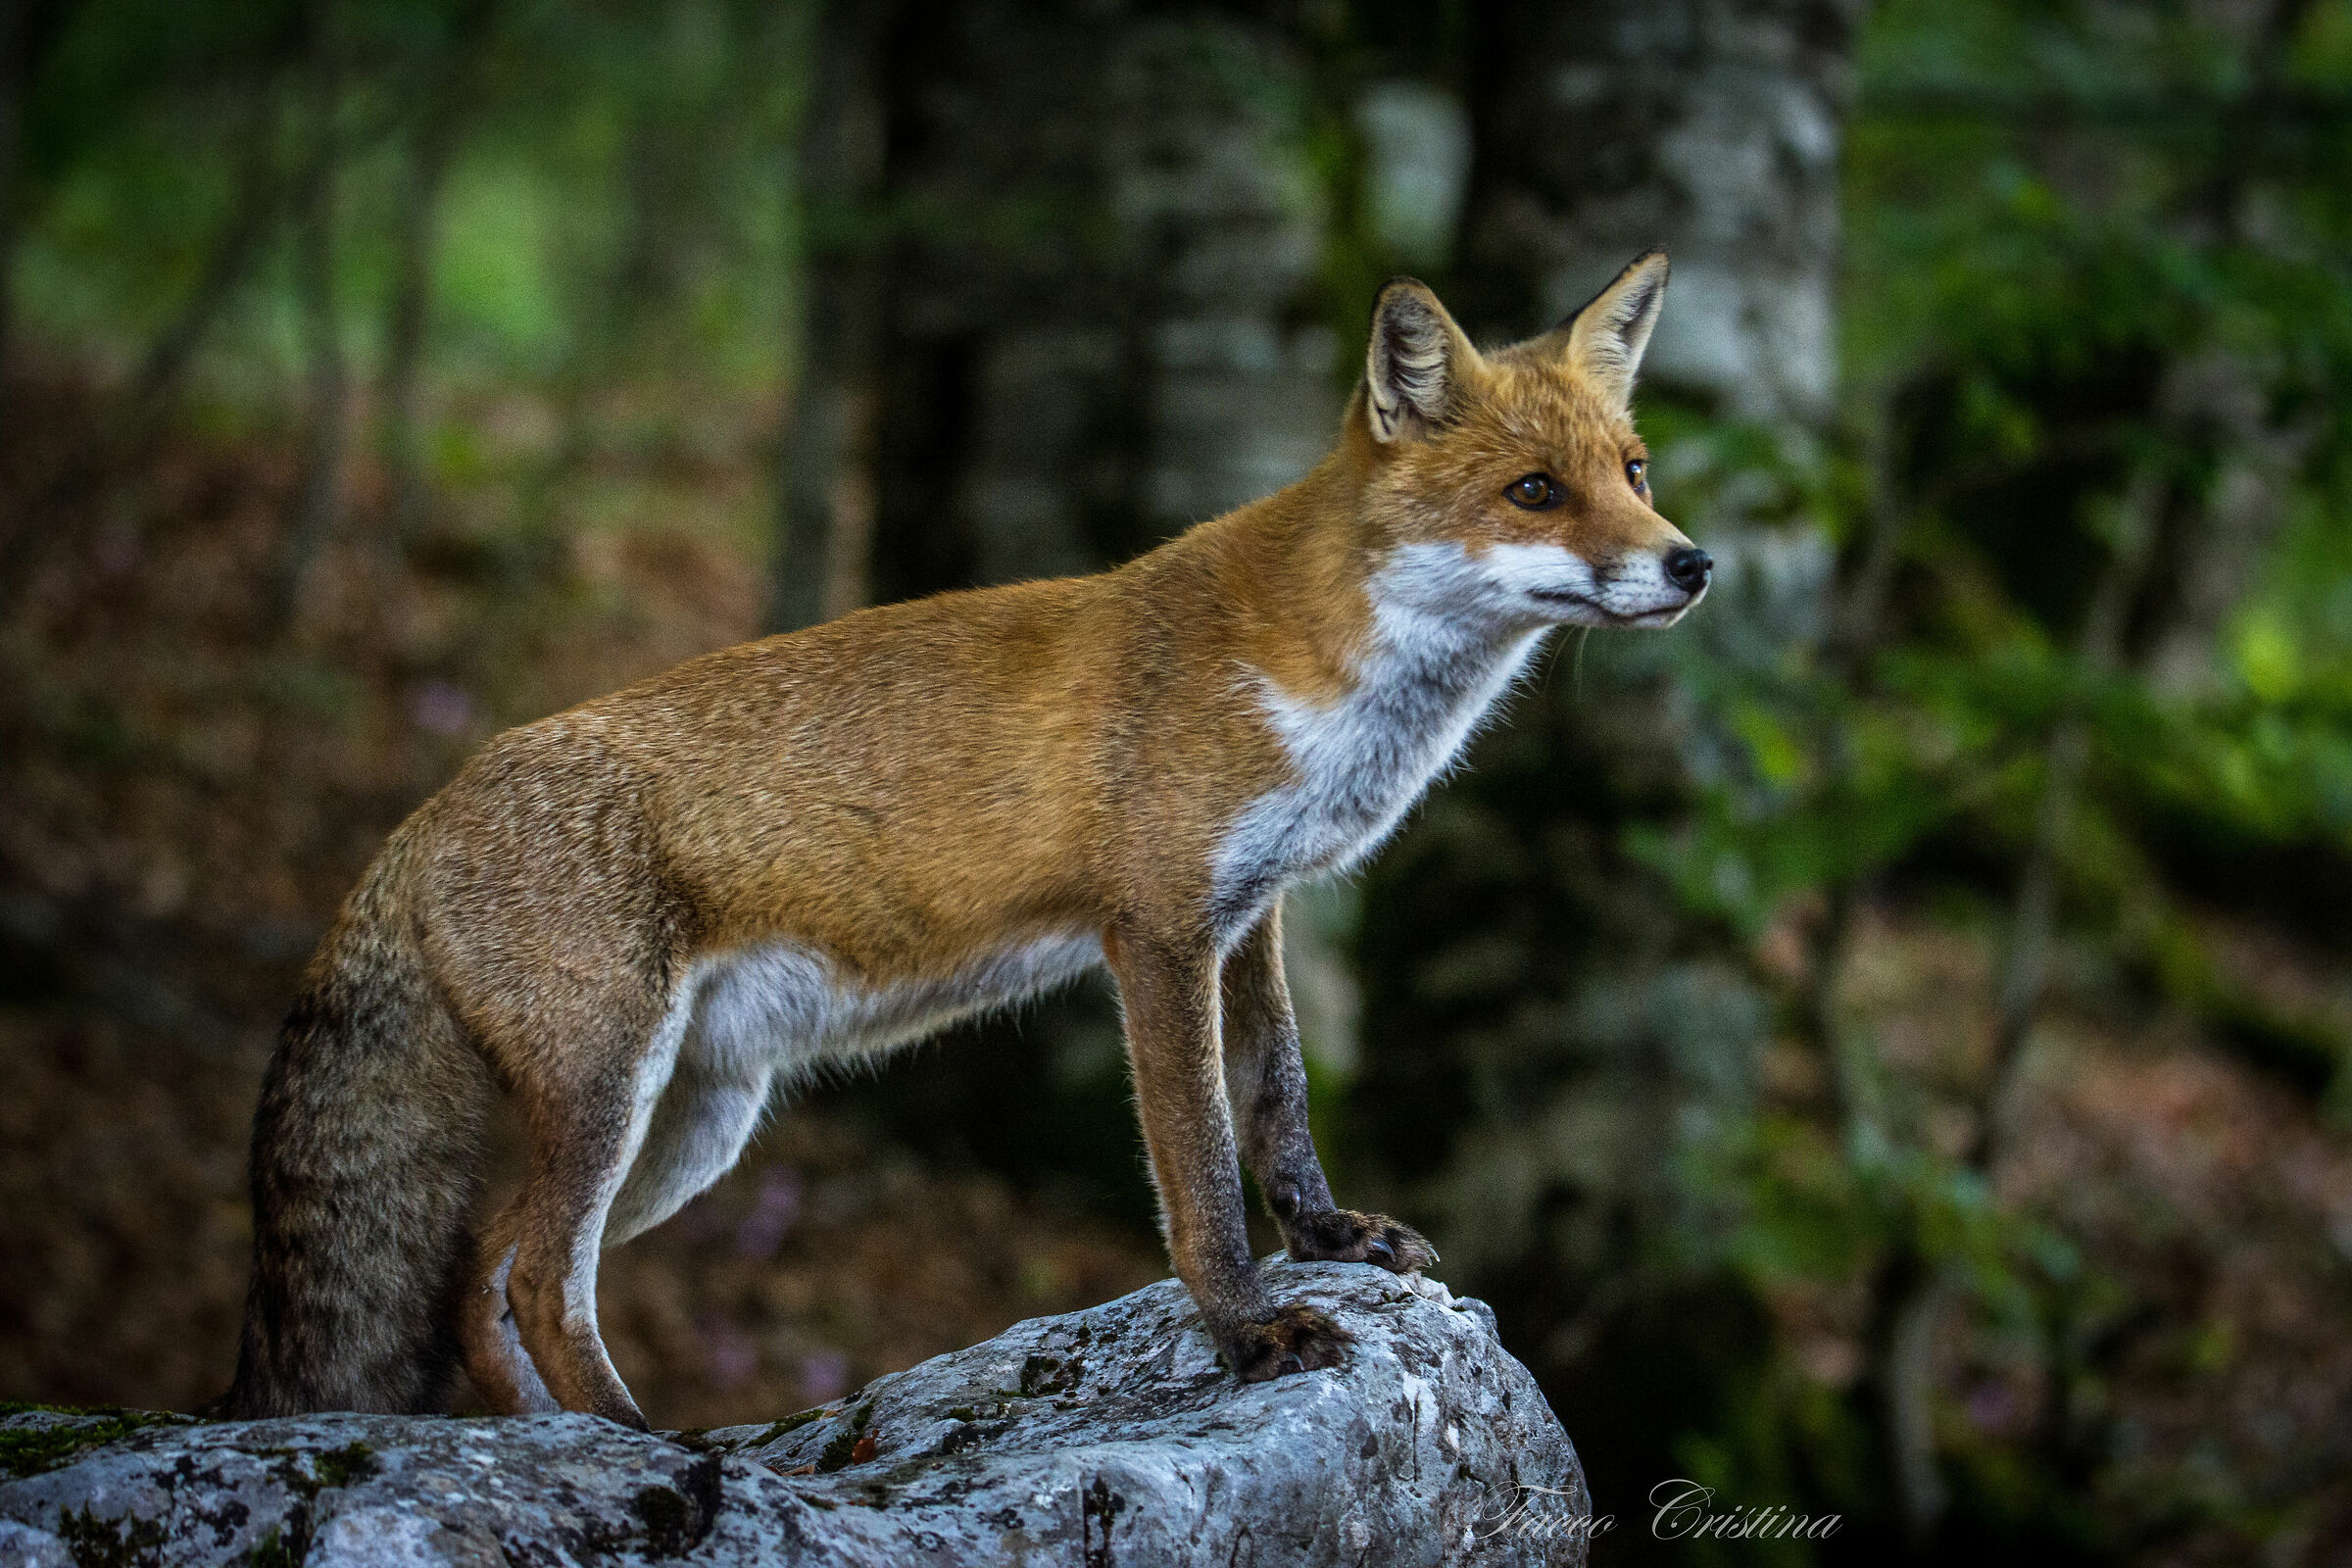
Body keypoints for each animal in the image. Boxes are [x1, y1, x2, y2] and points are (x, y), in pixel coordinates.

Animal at [226, 252, 1709, 1427]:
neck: (1326, 682)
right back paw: (652, 1451)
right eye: (1535, 491)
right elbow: (1199, 1171)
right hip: (612, 1094)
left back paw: (555, 1441)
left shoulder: (1252, 914)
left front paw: (1332, 1235)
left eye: (1634, 474)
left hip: (692, 1123)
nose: (1692, 563)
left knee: (479, 1281)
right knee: (535, 1279)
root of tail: (421, 814)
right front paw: (1246, 1331)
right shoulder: (1156, 931)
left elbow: (1280, 1109)